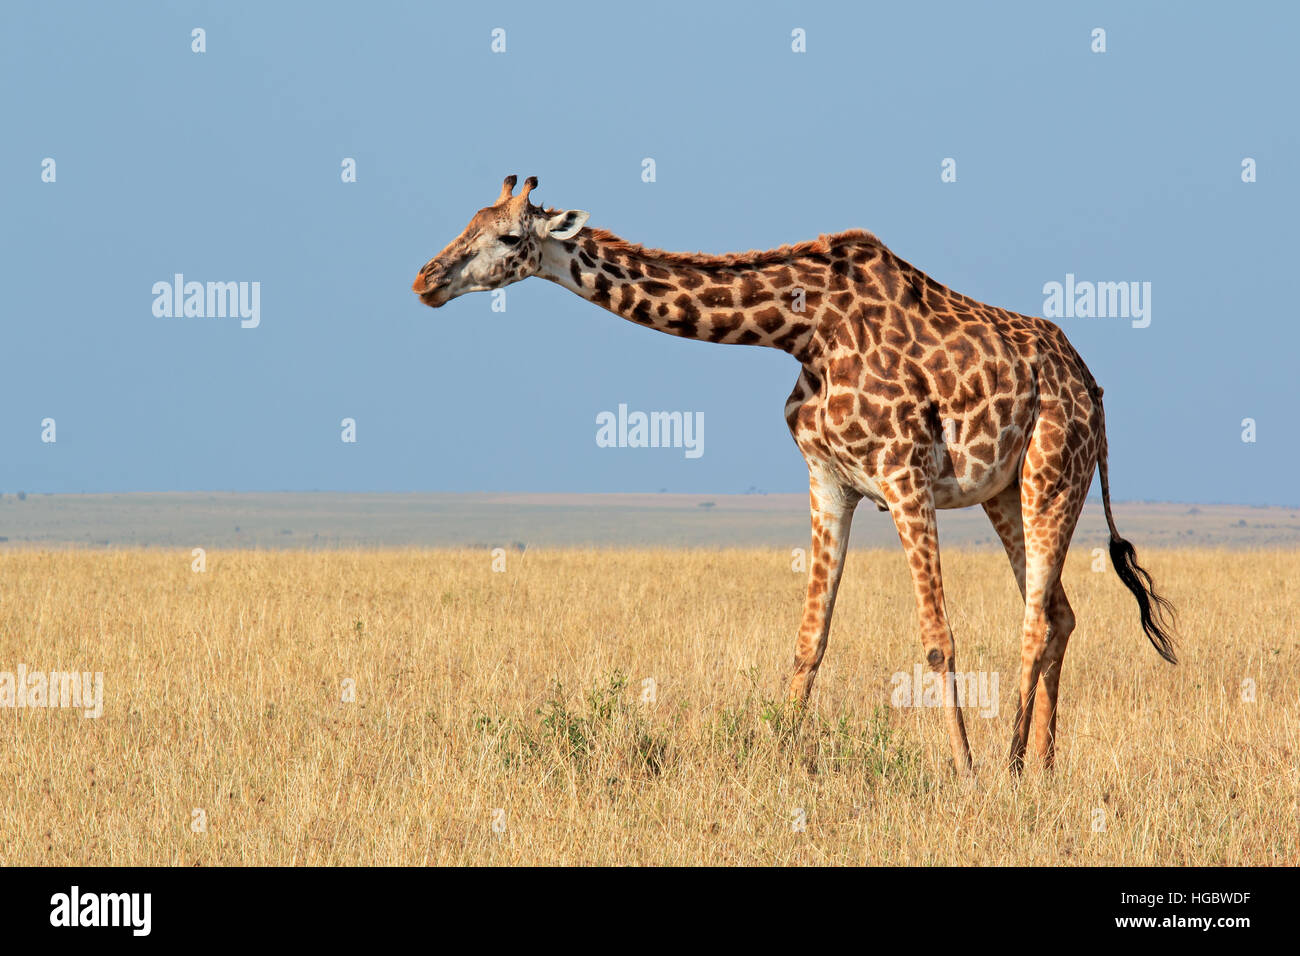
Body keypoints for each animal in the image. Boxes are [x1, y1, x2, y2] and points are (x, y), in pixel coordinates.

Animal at [416, 175, 1180, 775]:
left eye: (507, 238)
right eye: (466, 223)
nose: (426, 280)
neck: (801, 329)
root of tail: (1092, 387)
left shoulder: (902, 473)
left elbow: (937, 639)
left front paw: (963, 769)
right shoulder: (828, 479)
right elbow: (809, 640)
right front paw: (777, 757)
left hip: (1053, 473)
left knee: (1034, 620)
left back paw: (1011, 763)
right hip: (1003, 492)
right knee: (1058, 613)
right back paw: (1044, 767)